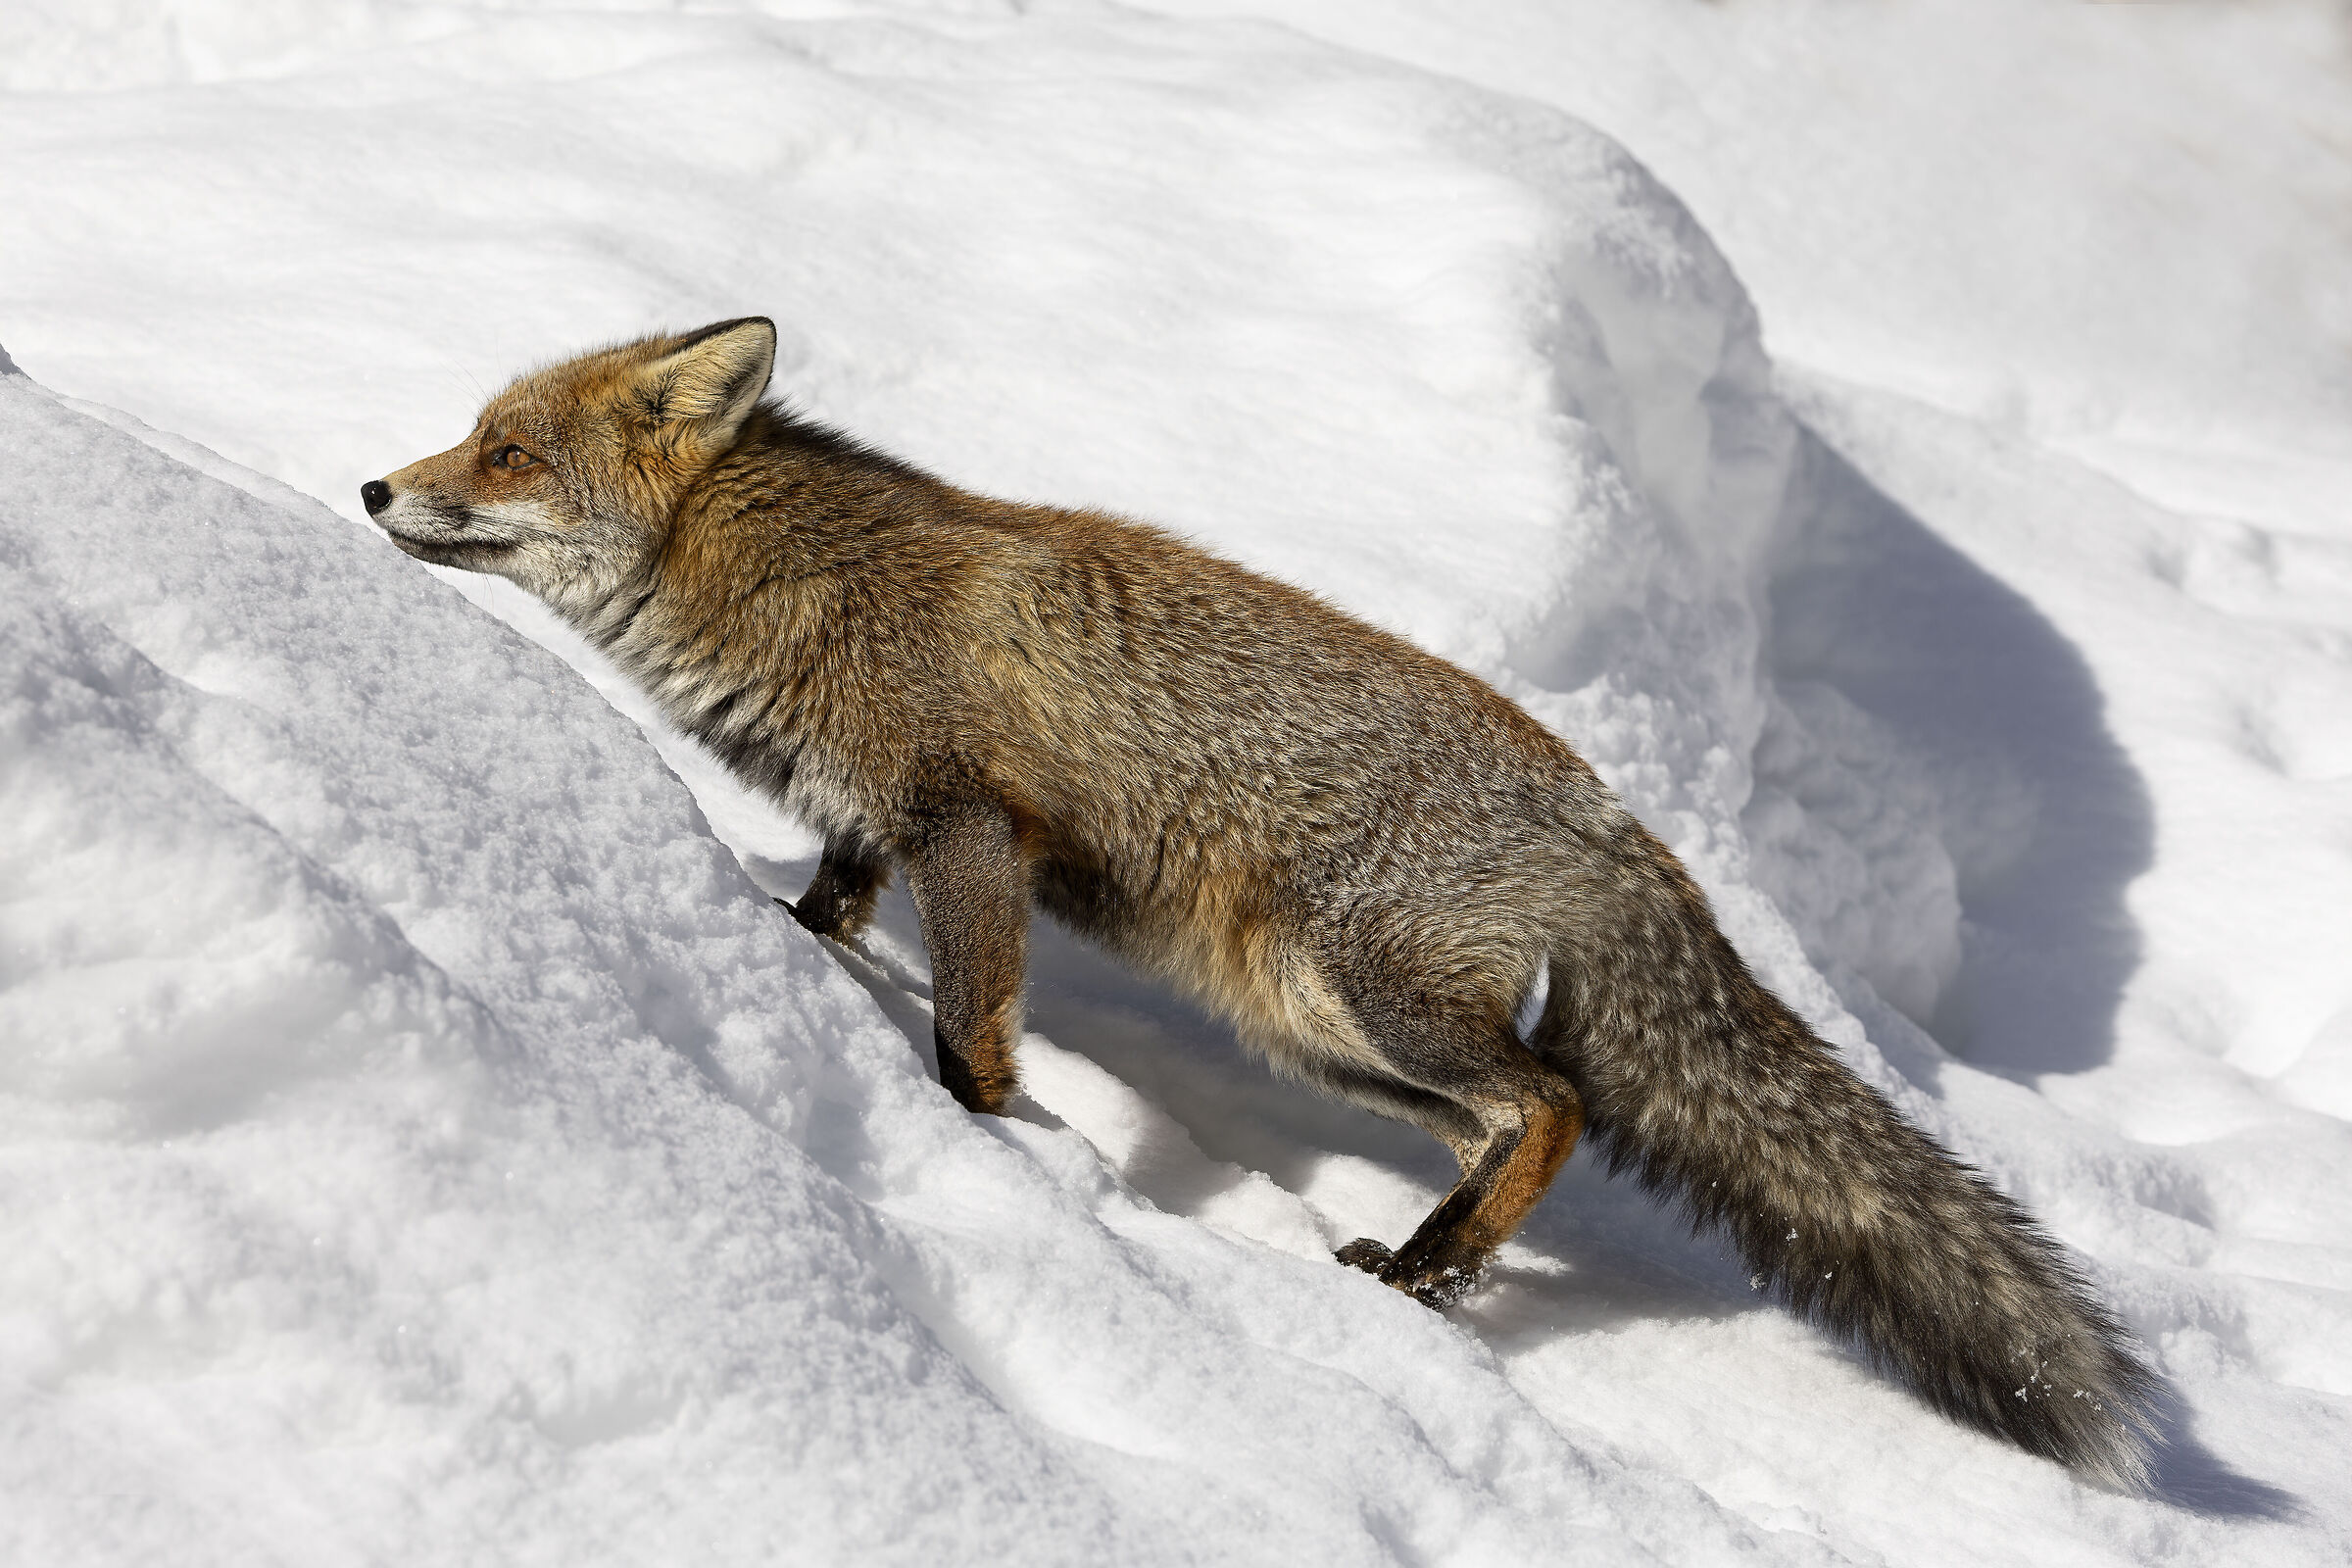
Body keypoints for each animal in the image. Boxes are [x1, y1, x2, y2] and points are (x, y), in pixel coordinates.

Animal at [364, 317, 2158, 1487]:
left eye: (508, 452)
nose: (377, 490)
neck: (792, 583)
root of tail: (1620, 822)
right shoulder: (878, 825)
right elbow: (831, 918)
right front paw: (791, 961)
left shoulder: (970, 828)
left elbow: (970, 1033)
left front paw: (993, 1149)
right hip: (1314, 1031)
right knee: (1503, 1124)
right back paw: (1430, 1272)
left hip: (1357, 987)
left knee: (1561, 1103)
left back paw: (1432, 1271)